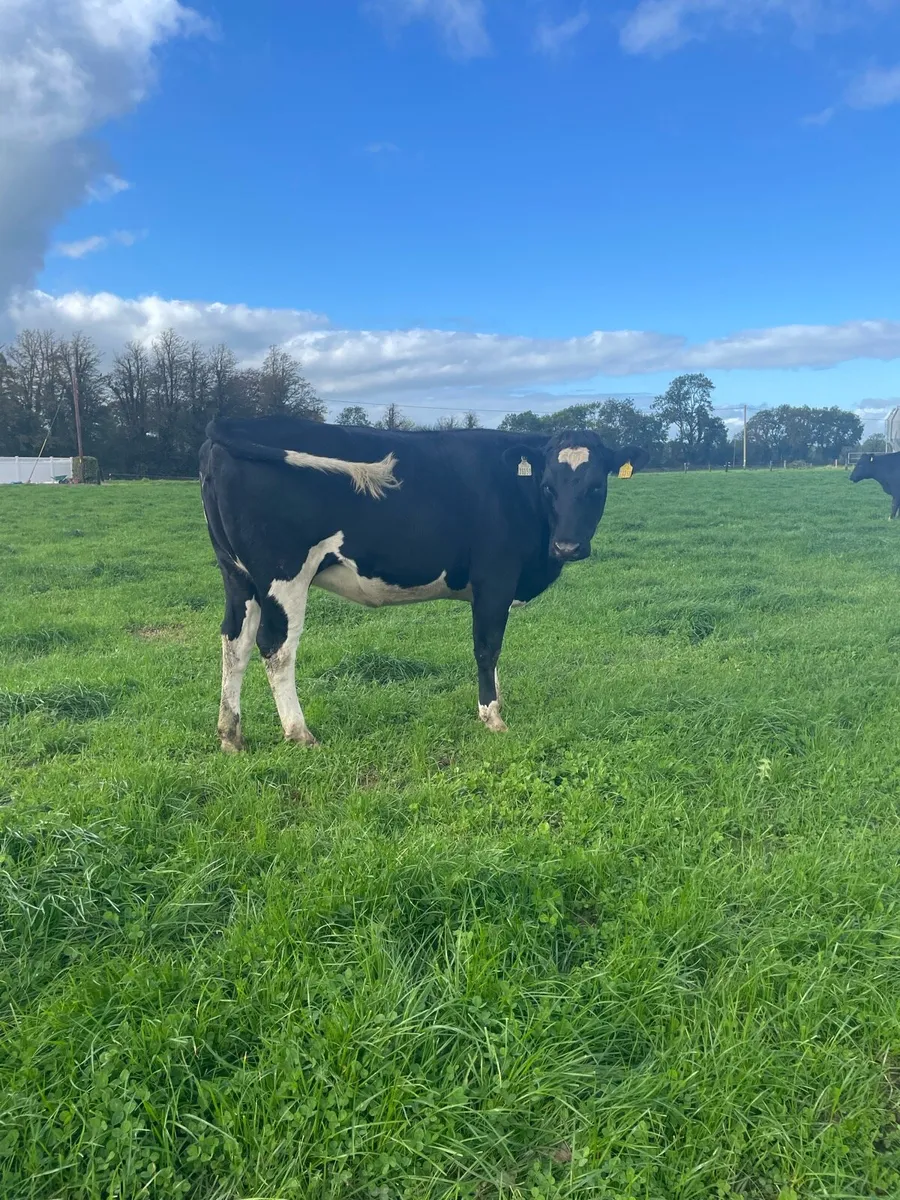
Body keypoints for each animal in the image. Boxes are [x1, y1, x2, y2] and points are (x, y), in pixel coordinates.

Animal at [200, 416, 648, 750]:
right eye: (548, 486)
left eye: (597, 486)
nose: (567, 546)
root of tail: (237, 424)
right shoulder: (495, 579)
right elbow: (487, 647)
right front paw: (491, 715)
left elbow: (495, 650)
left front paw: (497, 699)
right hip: (283, 574)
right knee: (276, 648)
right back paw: (299, 733)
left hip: (237, 575)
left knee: (235, 642)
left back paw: (231, 735)